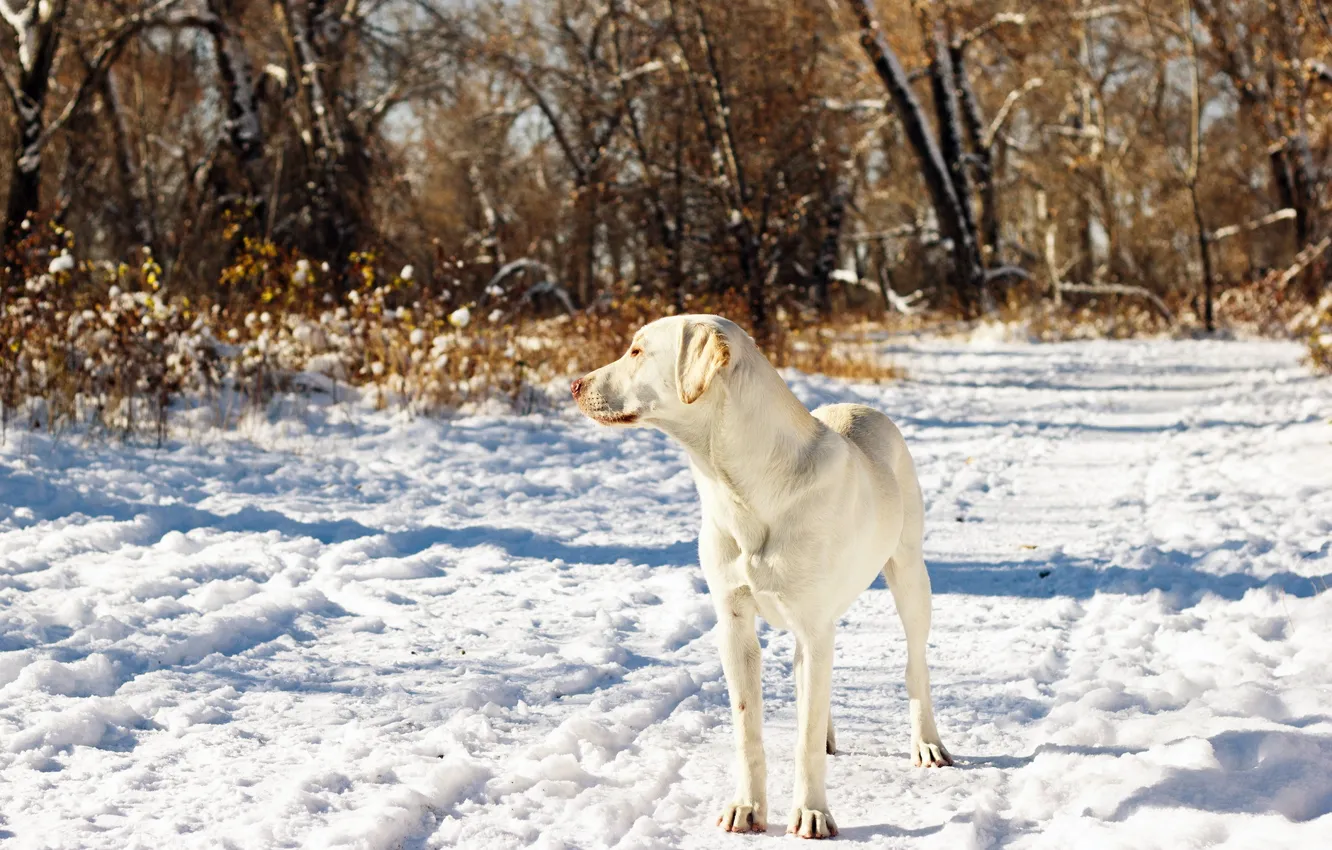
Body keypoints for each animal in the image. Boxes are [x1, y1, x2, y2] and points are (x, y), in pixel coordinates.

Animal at [572, 317, 948, 842]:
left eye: (638, 351)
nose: (574, 384)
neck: (741, 487)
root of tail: (862, 406)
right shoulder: (735, 625)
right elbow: (749, 729)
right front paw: (747, 808)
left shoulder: (814, 625)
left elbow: (804, 741)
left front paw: (811, 813)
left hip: (910, 577)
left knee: (915, 666)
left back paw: (927, 743)